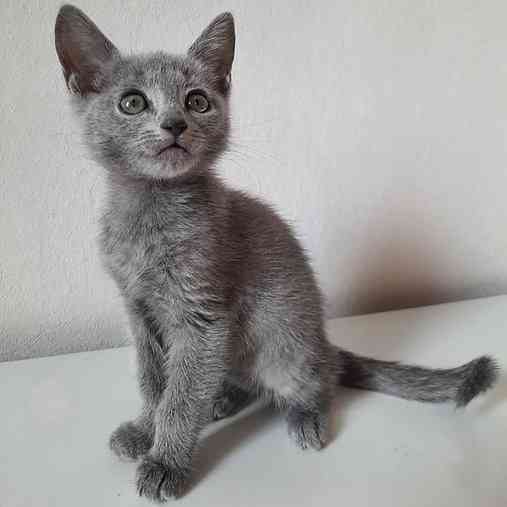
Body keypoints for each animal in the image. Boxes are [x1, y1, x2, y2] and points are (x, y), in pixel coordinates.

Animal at [55, 4, 500, 504]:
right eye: (132, 102)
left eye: (197, 101)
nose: (174, 124)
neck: (150, 209)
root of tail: (324, 342)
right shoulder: (139, 311)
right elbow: (155, 383)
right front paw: (145, 430)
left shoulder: (202, 318)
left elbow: (180, 396)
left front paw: (166, 460)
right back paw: (222, 398)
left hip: (283, 345)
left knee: (318, 381)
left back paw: (303, 416)